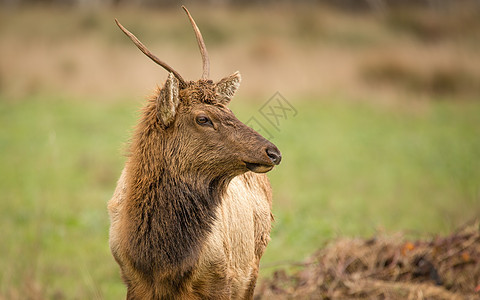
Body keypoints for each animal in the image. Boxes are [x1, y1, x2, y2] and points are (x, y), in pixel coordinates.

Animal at [108, 7, 282, 300]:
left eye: (229, 111)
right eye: (203, 118)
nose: (273, 152)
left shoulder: (221, 279)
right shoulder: (132, 280)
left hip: (252, 268)